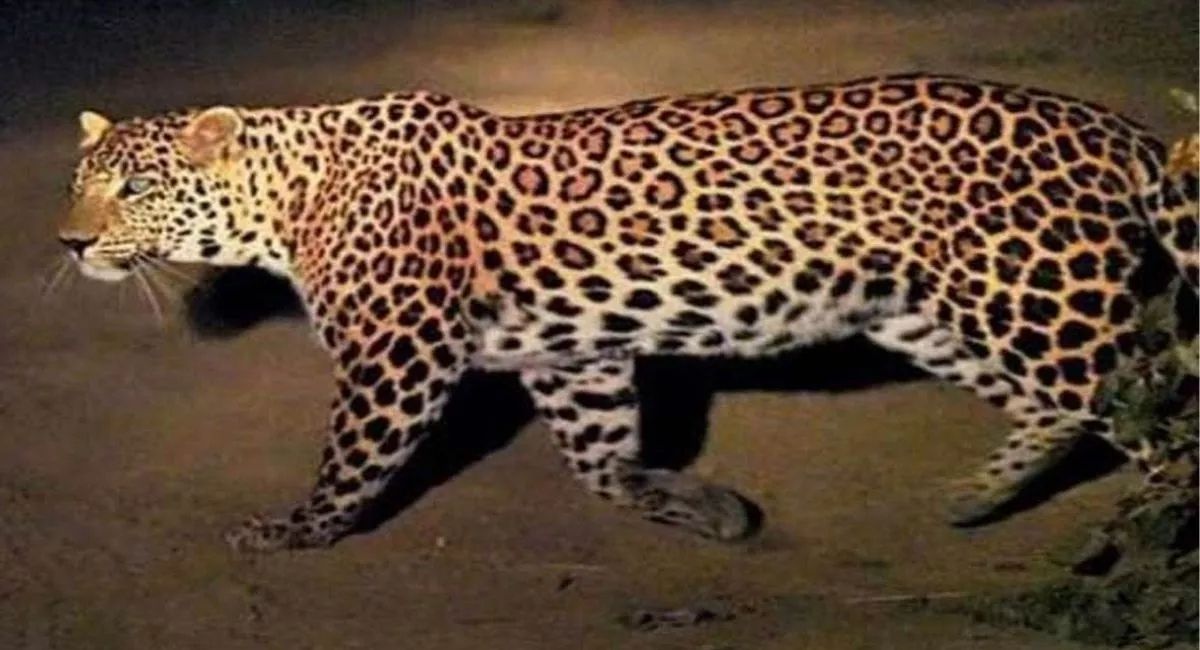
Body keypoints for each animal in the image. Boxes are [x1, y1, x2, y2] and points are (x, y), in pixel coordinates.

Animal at [58, 73, 1199, 553]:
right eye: (80, 181)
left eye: (137, 188)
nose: (67, 241)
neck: (286, 199)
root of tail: (1114, 127)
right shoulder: (574, 354)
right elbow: (599, 458)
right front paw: (696, 504)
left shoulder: (400, 351)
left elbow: (355, 455)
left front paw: (296, 529)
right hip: (934, 309)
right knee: (1064, 409)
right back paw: (975, 498)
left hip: (1033, 298)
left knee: (1155, 411)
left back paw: (1150, 536)